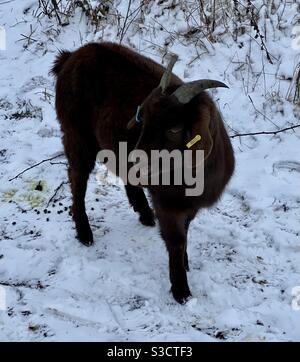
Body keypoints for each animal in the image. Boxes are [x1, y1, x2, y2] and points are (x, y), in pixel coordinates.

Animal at [51, 41, 234, 302]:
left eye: (174, 128)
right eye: (142, 117)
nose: (136, 159)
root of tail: (70, 57)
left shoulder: (189, 205)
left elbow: (186, 232)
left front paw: (186, 263)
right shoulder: (167, 203)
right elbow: (176, 241)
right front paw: (181, 291)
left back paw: (145, 213)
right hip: (77, 134)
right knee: (78, 178)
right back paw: (85, 232)